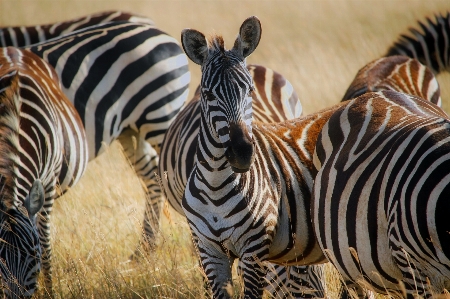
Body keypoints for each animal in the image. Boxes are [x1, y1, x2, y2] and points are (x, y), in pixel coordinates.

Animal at [179, 17, 338, 299]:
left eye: (250, 90)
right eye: (208, 95)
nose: (242, 153)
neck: (215, 184)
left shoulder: (253, 251)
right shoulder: (209, 251)